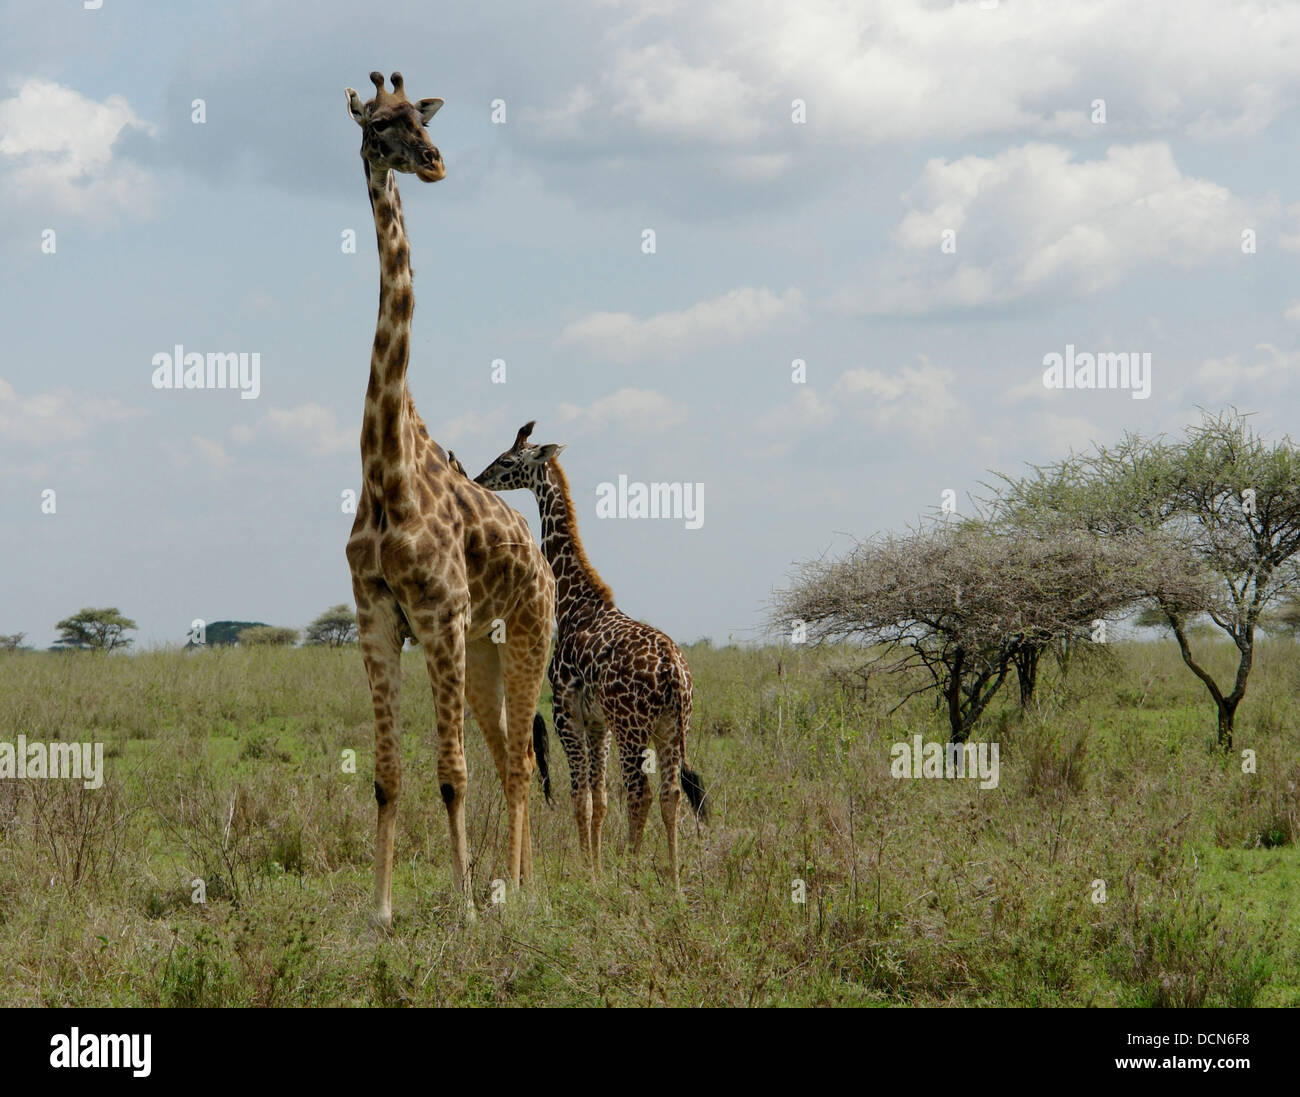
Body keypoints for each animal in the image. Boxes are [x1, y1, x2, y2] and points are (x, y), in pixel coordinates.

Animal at [475, 421, 707, 889]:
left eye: (507, 461)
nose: (479, 478)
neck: (574, 601)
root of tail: (674, 672)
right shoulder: (598, 722)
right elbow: (598, 799)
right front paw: (595, 868)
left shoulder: (566, 712)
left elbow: (579, 795)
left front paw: (589, 873)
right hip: (672, 727)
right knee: (671, 794)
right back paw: (674, 880)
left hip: (633, 727)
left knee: (640, 793)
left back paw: (633, 872)